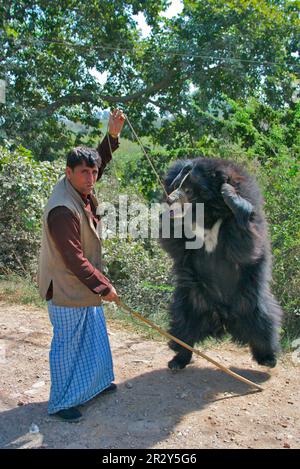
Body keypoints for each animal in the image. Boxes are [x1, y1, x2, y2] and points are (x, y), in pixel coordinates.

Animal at [161, 157, 282, 370]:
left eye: (189, 190)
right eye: (176, 185)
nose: (170, 200)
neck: (206, 213)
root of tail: (222, 316)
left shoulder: (241, 215)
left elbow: (245, 247)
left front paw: (230, 195)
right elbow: (172, 240)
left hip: (249, 302)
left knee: (265, 326)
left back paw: (268, 358)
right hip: (191, 300)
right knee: (183, 328)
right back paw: (178, 359)